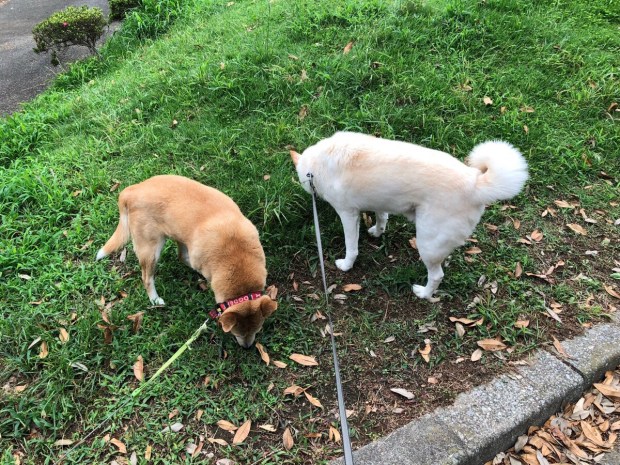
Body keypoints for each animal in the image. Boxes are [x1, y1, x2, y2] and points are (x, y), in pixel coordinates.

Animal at [96, 175, 277, 347]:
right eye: (236, 333)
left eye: (257, 330)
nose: (247, 347)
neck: (236, 256)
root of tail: (131, 191)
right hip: (151, 249)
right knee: (147, 278)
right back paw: (155, 299)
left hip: (176, 233)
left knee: (180, 256)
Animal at [291, 132, 528, 300]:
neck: (317, 165)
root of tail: (475, 182)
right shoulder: (381, 201)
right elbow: (382, 218)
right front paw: (377, 232)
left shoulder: (348, 214)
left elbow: (352, 247)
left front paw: (346, 265)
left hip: (427, 244)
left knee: (437, 275)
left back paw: (424, 293)